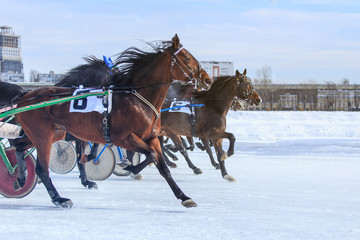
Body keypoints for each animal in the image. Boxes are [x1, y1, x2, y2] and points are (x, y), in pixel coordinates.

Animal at [13, 34, 211, 208]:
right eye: (187, 58)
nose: (207, 79)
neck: (137, 98)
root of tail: (25, 97)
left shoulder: (152, 138)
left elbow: (162, 166)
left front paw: (184, 197)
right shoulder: (123, 138)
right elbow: (151, 155)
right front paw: (129, 167)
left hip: (52, 133)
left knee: (18, 145)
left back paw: (20, 177)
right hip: (43, 136)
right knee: (41, 168)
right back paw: (59, 199)